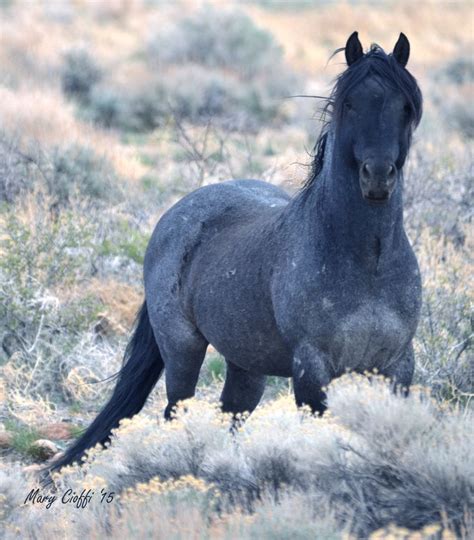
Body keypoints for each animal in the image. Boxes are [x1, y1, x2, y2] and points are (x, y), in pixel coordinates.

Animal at [53, 32, 424, 472]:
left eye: (405, 106)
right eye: (350, 104)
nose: (378, 176)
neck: (368, 263)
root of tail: (176, 214)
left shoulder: (396, 367)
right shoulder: (312, 368)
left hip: (246, 364)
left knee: (231, 415)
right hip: (182, 349)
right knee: (178, 411)